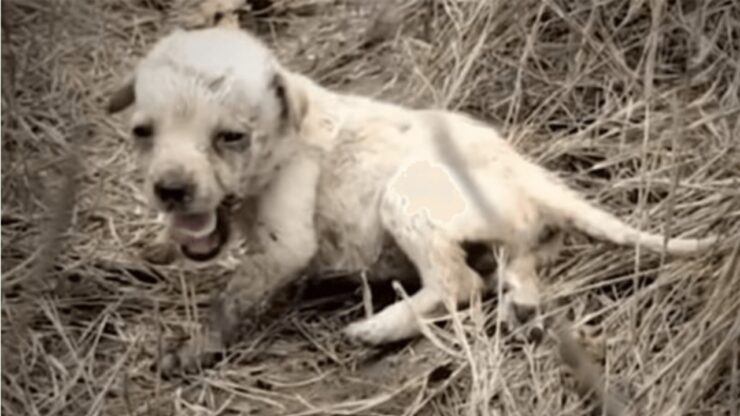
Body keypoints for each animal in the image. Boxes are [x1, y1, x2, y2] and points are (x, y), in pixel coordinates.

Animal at [107, 27, 720, 376]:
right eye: (142, 132)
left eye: (231, 137)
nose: (170, 190)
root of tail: (531, 176)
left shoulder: (286, 243)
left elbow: (230, 300)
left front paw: (190, 351)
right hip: (514, 239)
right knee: (512, 272)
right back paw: (520, 312)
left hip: (405, 197)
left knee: (458, 284)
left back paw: (379, 327)